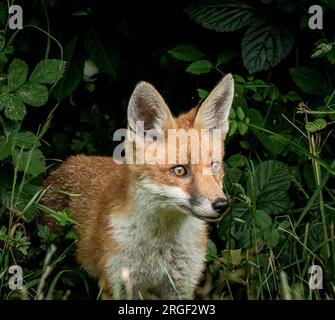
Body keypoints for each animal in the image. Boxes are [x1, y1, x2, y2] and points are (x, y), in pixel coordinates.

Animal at [42, 74, 235, 298]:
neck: (160, 249)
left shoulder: (181, 286)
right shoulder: (118, 284)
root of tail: (68, 161)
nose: (221, 205)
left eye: (214, 166)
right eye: (179, 170)